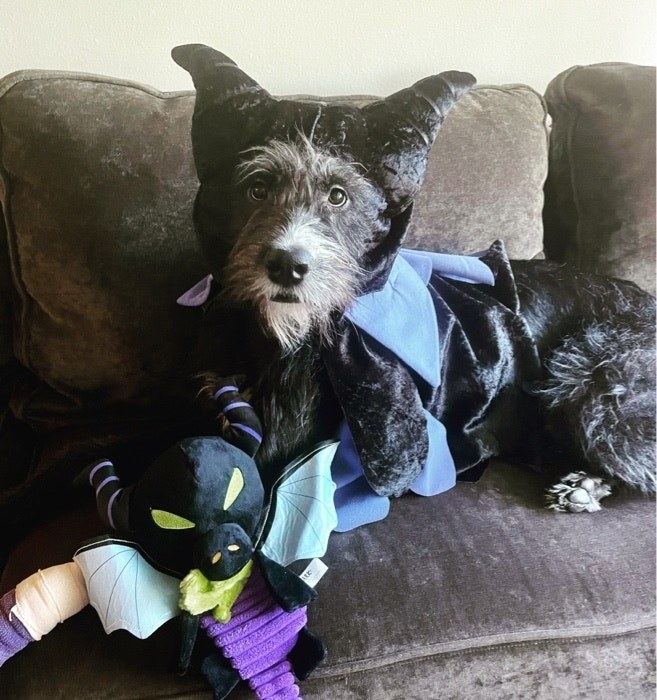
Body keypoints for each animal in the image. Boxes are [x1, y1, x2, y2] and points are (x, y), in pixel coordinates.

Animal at [172, 45, 652, 516]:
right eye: (257, 189)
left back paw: (587, 484)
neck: (294, 337)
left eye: (338, 196)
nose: (287, 265)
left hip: (594, 378)